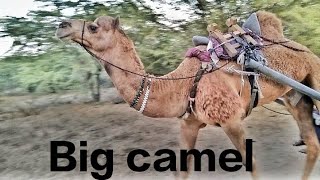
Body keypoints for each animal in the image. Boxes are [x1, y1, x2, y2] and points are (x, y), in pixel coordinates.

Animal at [55, 10, 320, 179]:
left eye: (93, 27)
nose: (62, 26)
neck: (182, 84)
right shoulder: (189, 123)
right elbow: (182, 171)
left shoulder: (231, 119)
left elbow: (252, 166)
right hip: (294, 96)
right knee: (313, 144)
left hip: (314, 76)